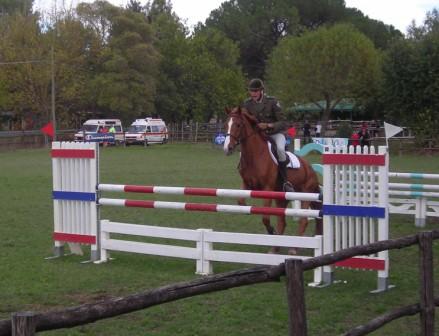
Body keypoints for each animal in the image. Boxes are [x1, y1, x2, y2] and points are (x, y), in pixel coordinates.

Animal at [223, 107, 324, 249]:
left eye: (238, 125)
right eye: (226, 124)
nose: (228, 148)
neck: (255, 155)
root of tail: (310, 168)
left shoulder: (267, 188)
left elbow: (265, 217)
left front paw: (271, 231)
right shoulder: (247, 185)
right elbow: (241, 201)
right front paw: (247, 209)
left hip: (305, 194)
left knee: (303, 220)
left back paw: (293, 249)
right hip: (282, 198)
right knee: (282, 222)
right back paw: (275, 247)